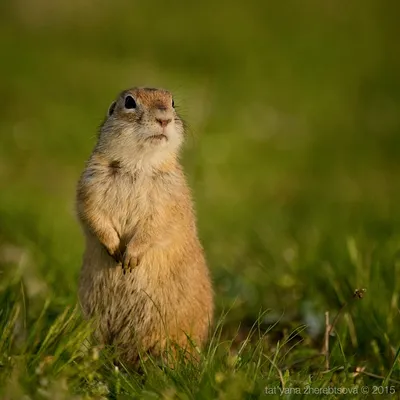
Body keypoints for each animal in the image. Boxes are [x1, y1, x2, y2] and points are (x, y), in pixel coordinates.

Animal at [78, 86, 216, 368]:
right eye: (129, 102)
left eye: (172, 102)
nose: (164, 118)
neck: (138, 164)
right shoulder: (90, 183)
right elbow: (92, 213)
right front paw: (114, 248)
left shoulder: (170, 197)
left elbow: (157, 226)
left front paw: (130, 258)